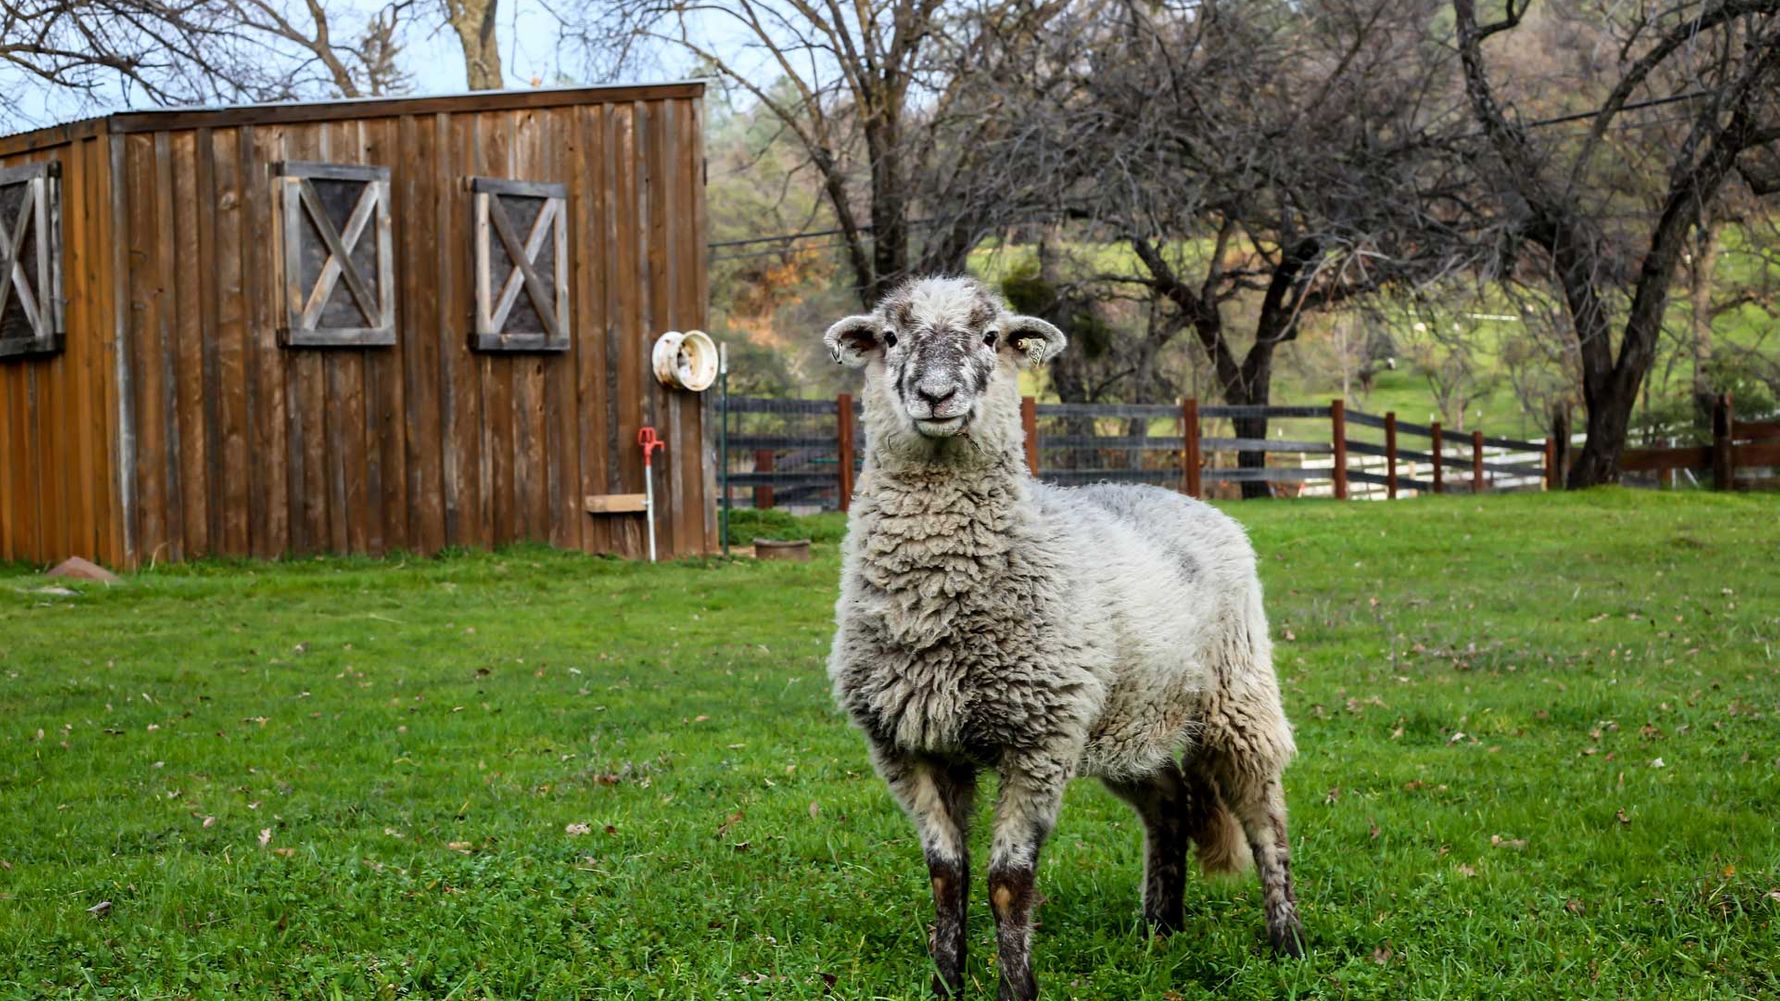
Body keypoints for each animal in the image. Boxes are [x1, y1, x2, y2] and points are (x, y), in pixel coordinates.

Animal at [823, 276, 1304, 1000]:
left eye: (990, 336)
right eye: (889, 337)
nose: (936, 395)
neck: (938, 608)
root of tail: (1185, 496)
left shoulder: (1038, 742)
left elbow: (1007, 881)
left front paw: (1015, 988)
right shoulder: (909, 746)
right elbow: (946, 875)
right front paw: (946, 983)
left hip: (1237, 696)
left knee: (1263, 816)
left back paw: (1288, 940)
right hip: (1128, 716)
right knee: (1169, 801)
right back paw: (1159, 927)